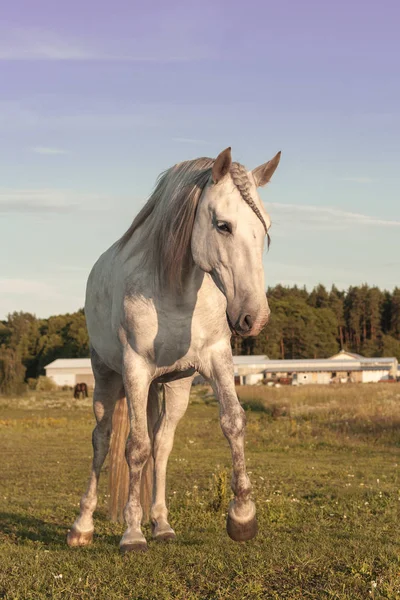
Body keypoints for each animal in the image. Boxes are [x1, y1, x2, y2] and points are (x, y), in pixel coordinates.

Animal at [67, 146, 280, 552]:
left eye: (265, 230)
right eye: (222, 225)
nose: (254, 318)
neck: (175, 289)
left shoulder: (216, 358)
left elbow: (233, 421)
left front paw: (242, 516)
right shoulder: (135, 368)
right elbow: (134, 447)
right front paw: (132, 535)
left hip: (172, 385)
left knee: (162, 444)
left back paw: (162, 524)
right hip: (106, 376)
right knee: (102, 440)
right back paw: (82, 526)